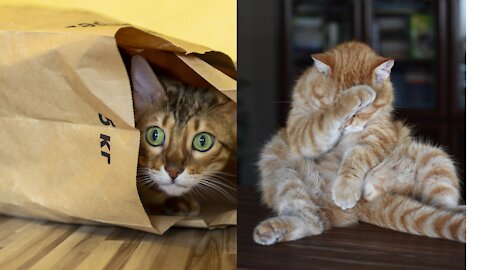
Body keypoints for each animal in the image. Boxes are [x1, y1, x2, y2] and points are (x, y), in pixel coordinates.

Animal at [253, 41, 466, 245]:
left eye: (364, 110)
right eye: (332, 101)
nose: (347, 124)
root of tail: (363, 206)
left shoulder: (379, 133)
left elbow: (356, 158)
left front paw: (346, 188)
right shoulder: (301, 133)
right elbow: (327, 118)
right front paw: (355, 95)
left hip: (436, 160)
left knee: (443, 206)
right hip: (279, 162)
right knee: (311, 219)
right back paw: (270, 230)